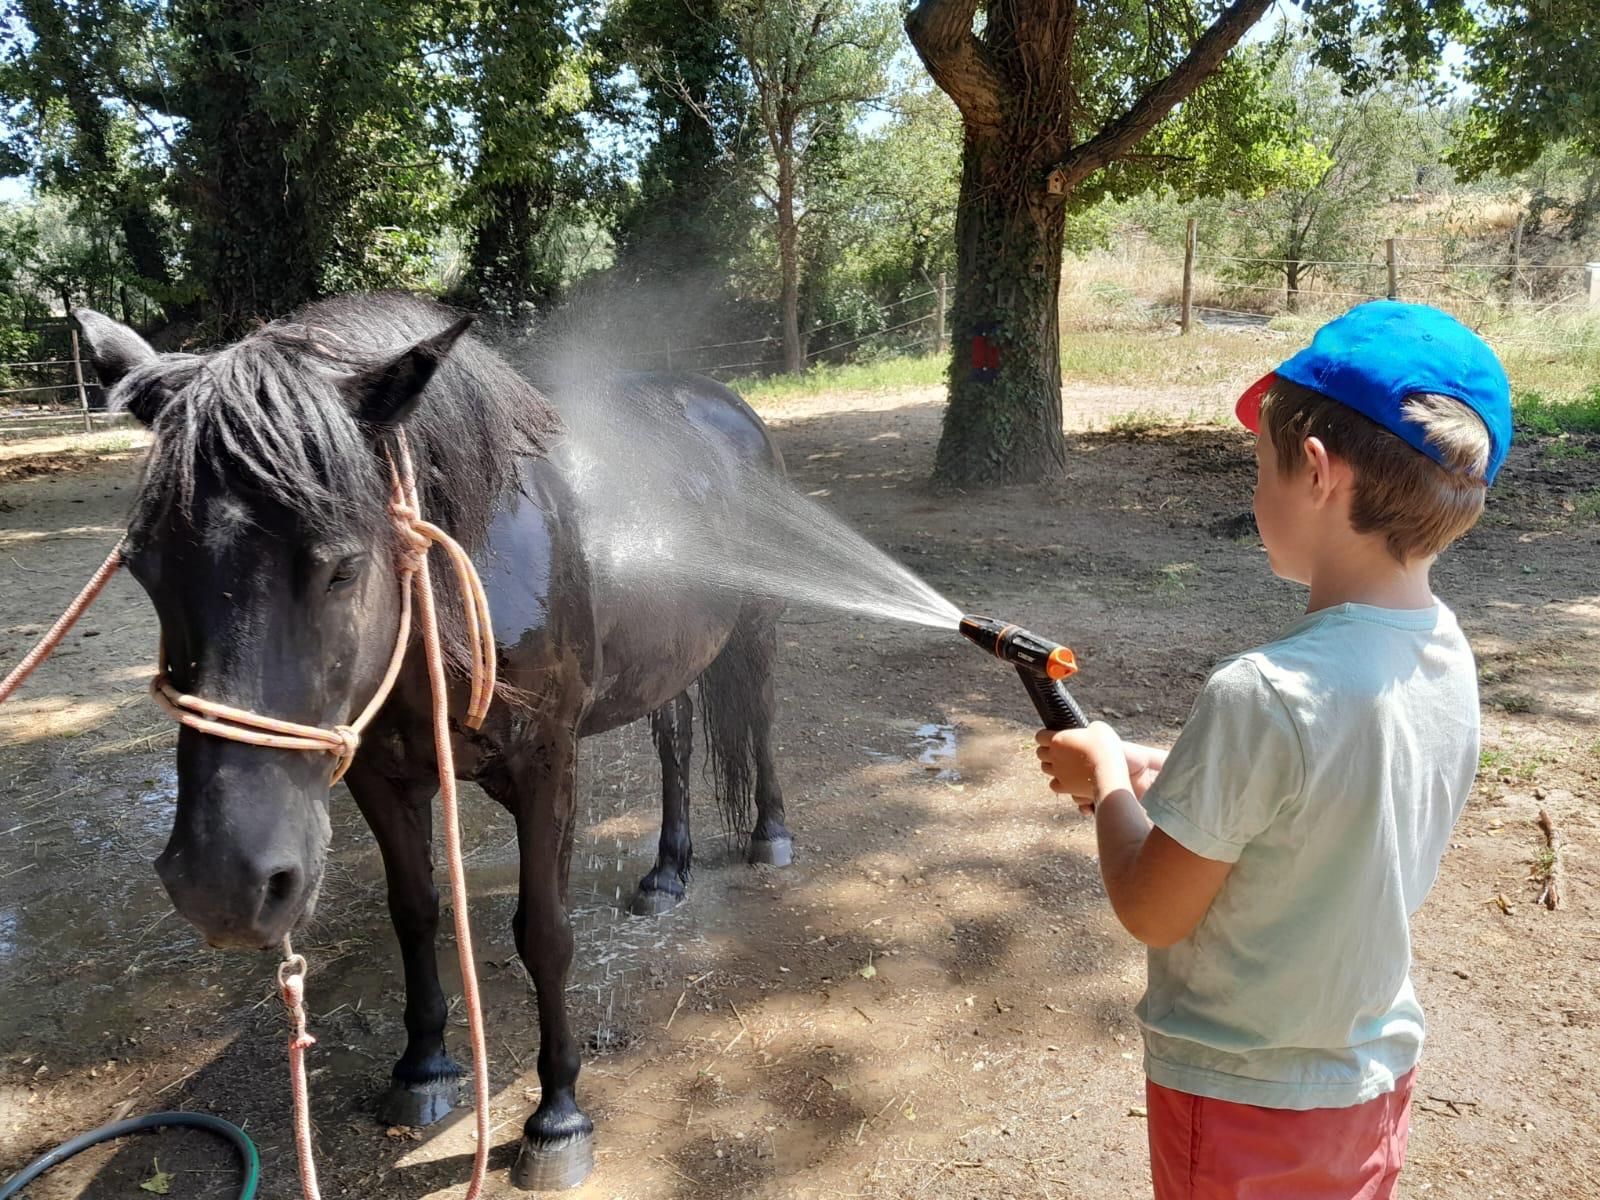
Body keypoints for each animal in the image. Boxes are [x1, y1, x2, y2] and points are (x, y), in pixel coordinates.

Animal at [73, 292, 794, 1190]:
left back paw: (769, 836)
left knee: (758, 719)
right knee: (676, 743)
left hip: (755, 625)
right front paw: (422, 1069)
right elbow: (414, 913)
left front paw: (557, 1118)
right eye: (143, 566)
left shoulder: (546, 764)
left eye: (343, 566)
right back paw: (667, 872)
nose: (221, 884)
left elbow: (543, 933)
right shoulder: (380, 778)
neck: (475, 567)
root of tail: (727, 406)